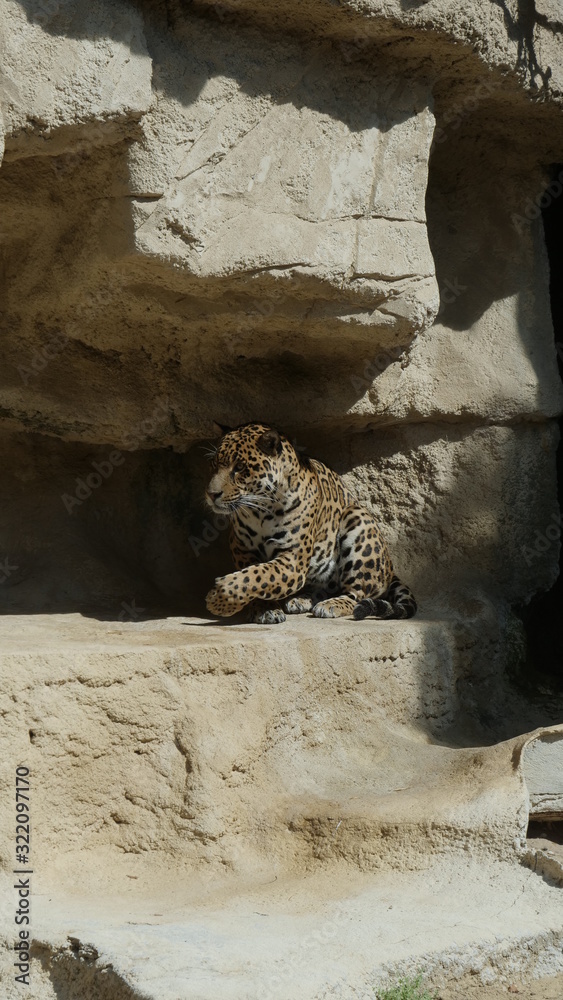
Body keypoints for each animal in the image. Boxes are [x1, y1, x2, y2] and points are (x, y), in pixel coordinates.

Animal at [204, 422, 416, 625]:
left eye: (239, 467)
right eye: (213, 465)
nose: (211, 494)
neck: (260, 512)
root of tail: (390, 568)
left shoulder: (293, 560)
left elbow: (259, 575)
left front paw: (218, 600)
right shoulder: (242, 549)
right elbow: (254, 577)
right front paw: (263, 609)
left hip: (358, 519)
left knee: (358, 594)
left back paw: (331, 605)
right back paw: (301, 600)